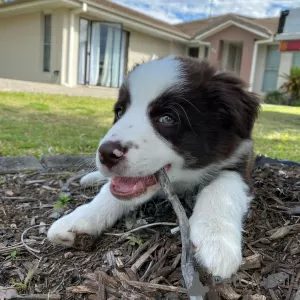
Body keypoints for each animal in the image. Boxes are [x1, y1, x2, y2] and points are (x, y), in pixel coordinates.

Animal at [47, 56, 260, 278]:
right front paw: (79, 218)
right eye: (119, 111)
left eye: (167, 118)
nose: (105, 153)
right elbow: (108, 193)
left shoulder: (240, 163)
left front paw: (216, 239)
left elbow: (221, 190)